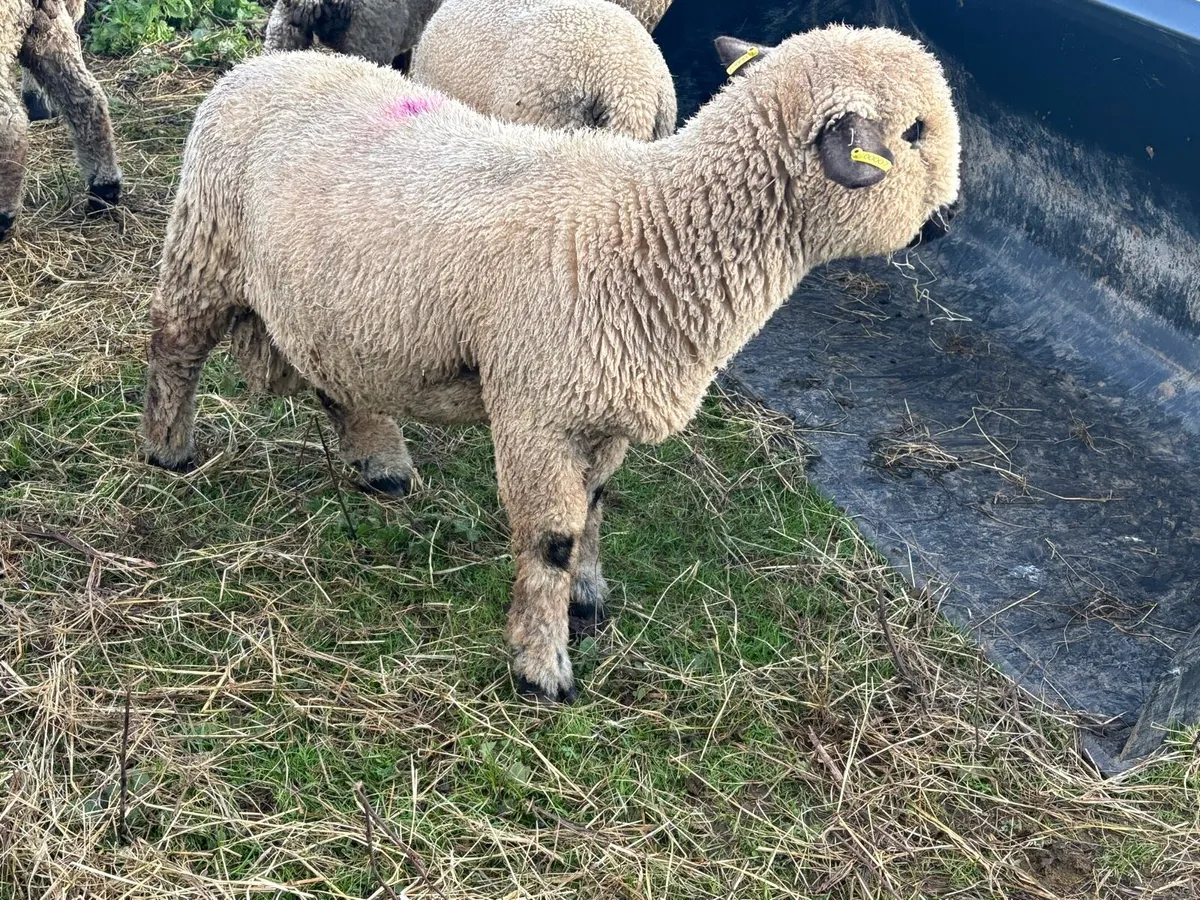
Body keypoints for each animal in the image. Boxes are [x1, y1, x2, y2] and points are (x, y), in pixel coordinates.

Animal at [140, 24, 961, 703]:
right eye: (915, 131)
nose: (948, 220)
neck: (653, 232)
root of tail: (262, 62)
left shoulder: (603, 409)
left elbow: (595, 507)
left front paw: (588, 597)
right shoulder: (538, 410)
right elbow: (551, 539)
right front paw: (541, 664)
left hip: (330, 302)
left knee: (336, 377)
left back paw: (381, 462)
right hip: (203, 244)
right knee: (171, 344)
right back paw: (167, 449)